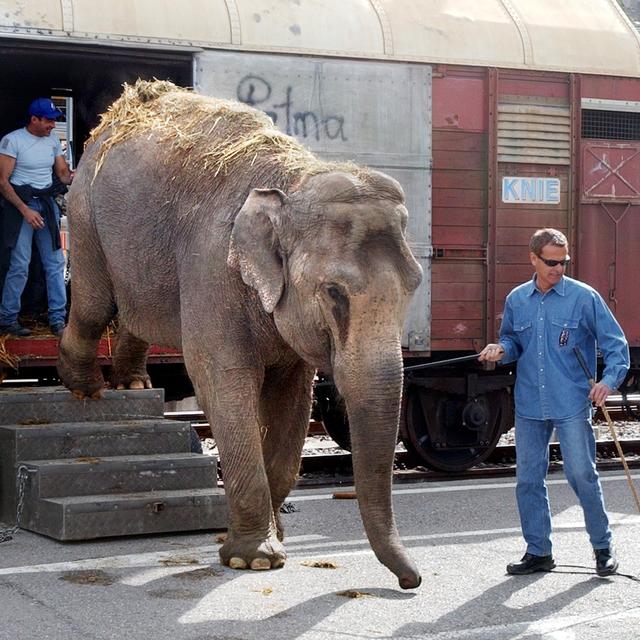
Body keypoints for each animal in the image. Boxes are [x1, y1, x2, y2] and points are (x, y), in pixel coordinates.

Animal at [57, 81, 422, 592]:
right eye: (334, 292)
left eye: (415, 283)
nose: (412, 582)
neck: (292, 182)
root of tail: (118, 114)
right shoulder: (214, 269)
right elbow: (224, 383)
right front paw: (254, 560)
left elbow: (292, 400)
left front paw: (276, 539)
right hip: (85, 212)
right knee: (94, 305)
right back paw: (85, 387)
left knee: (135, 313)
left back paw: (132, 384)